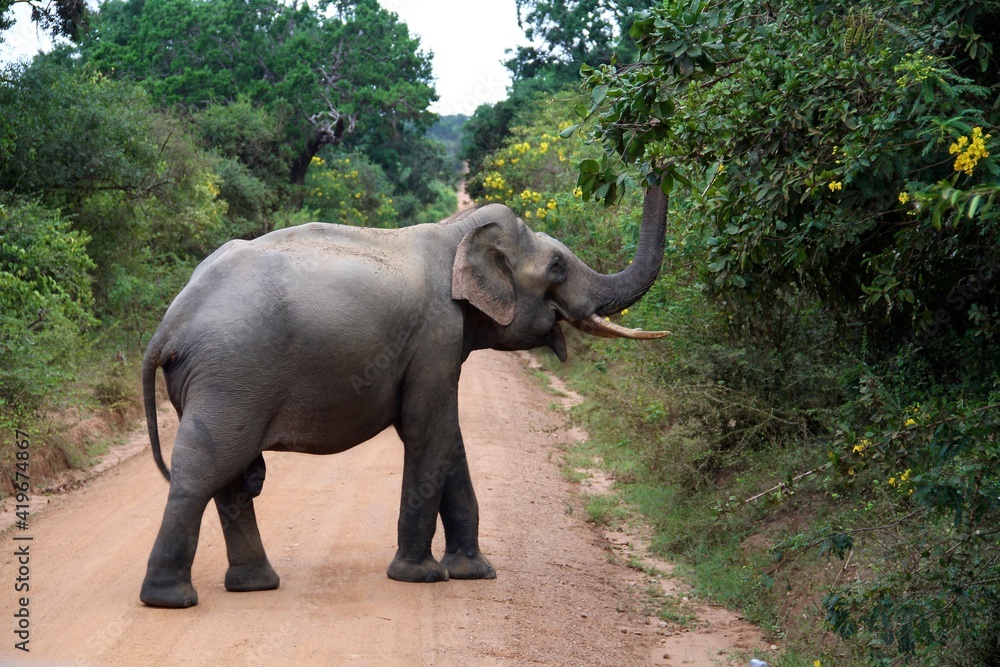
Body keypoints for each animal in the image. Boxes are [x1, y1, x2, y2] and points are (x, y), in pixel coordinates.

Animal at [138, 184, 669, 608]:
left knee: (228, 477)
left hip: (214, 379)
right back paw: (171, 601)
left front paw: (475, 573)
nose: (658, 162)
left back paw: (255, 586)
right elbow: (426, 428)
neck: (455, 234)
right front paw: (422, 577)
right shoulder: (436, 333)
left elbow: (448, 437)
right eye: (557, 267)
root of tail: (169, 323)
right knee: (205, 467)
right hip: (231, 374)